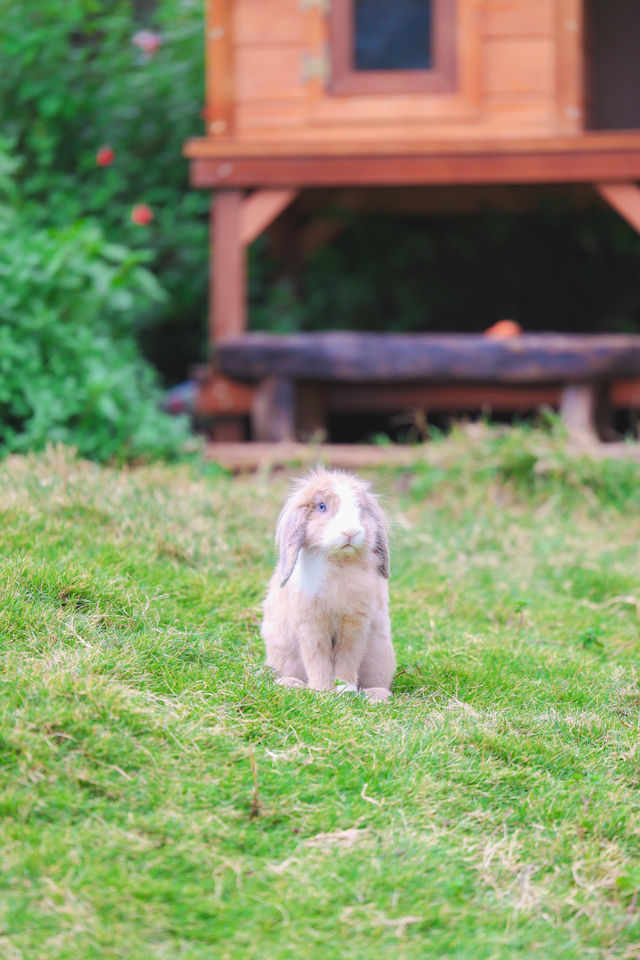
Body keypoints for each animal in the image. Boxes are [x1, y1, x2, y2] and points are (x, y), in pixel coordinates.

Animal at [262, 466, 396, 700]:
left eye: (360, 508)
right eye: (322, 506)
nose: (350, 532)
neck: (338, 562)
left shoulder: (355, 624)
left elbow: (348, 656)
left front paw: (345, 689)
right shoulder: (311, 625)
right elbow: (317, 658)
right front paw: (322, 690)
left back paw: (376, 696)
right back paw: (290, 684)